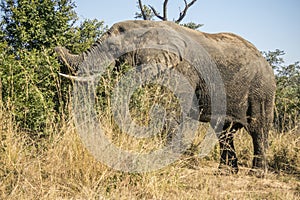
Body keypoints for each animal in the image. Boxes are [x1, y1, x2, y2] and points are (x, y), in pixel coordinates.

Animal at [55, 19, 276, 174]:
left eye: (112, 48)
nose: (56, 46)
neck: (148, 26)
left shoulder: (184, 70)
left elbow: (173, 110)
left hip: (262, 89)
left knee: (258, 128)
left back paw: (257, 174)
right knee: (224, 132)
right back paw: (225, 173)